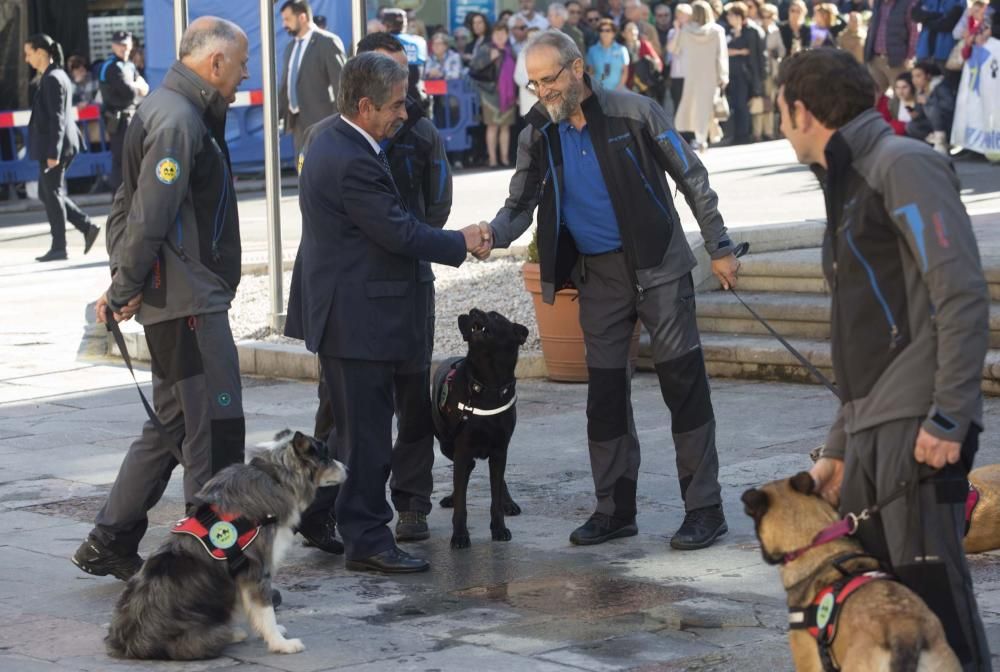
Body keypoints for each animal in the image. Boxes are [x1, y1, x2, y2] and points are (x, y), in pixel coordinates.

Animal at [106, 430, 348, 660]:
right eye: (326, 456)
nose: (347, 468)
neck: (274, 474)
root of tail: (129, 642)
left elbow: (255, 610)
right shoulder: (255, 568)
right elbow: (265, 610)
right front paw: (280, 643)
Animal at [432, 310, 532, 552]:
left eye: (495, 316)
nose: (472, 311)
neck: (488, 384)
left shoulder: (500, 450)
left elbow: (495, 496)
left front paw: (499, 528)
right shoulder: (462, 448)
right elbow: (461, 502)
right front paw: (459, 535)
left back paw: (508, 502)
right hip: (446, 444)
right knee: (463, 471)